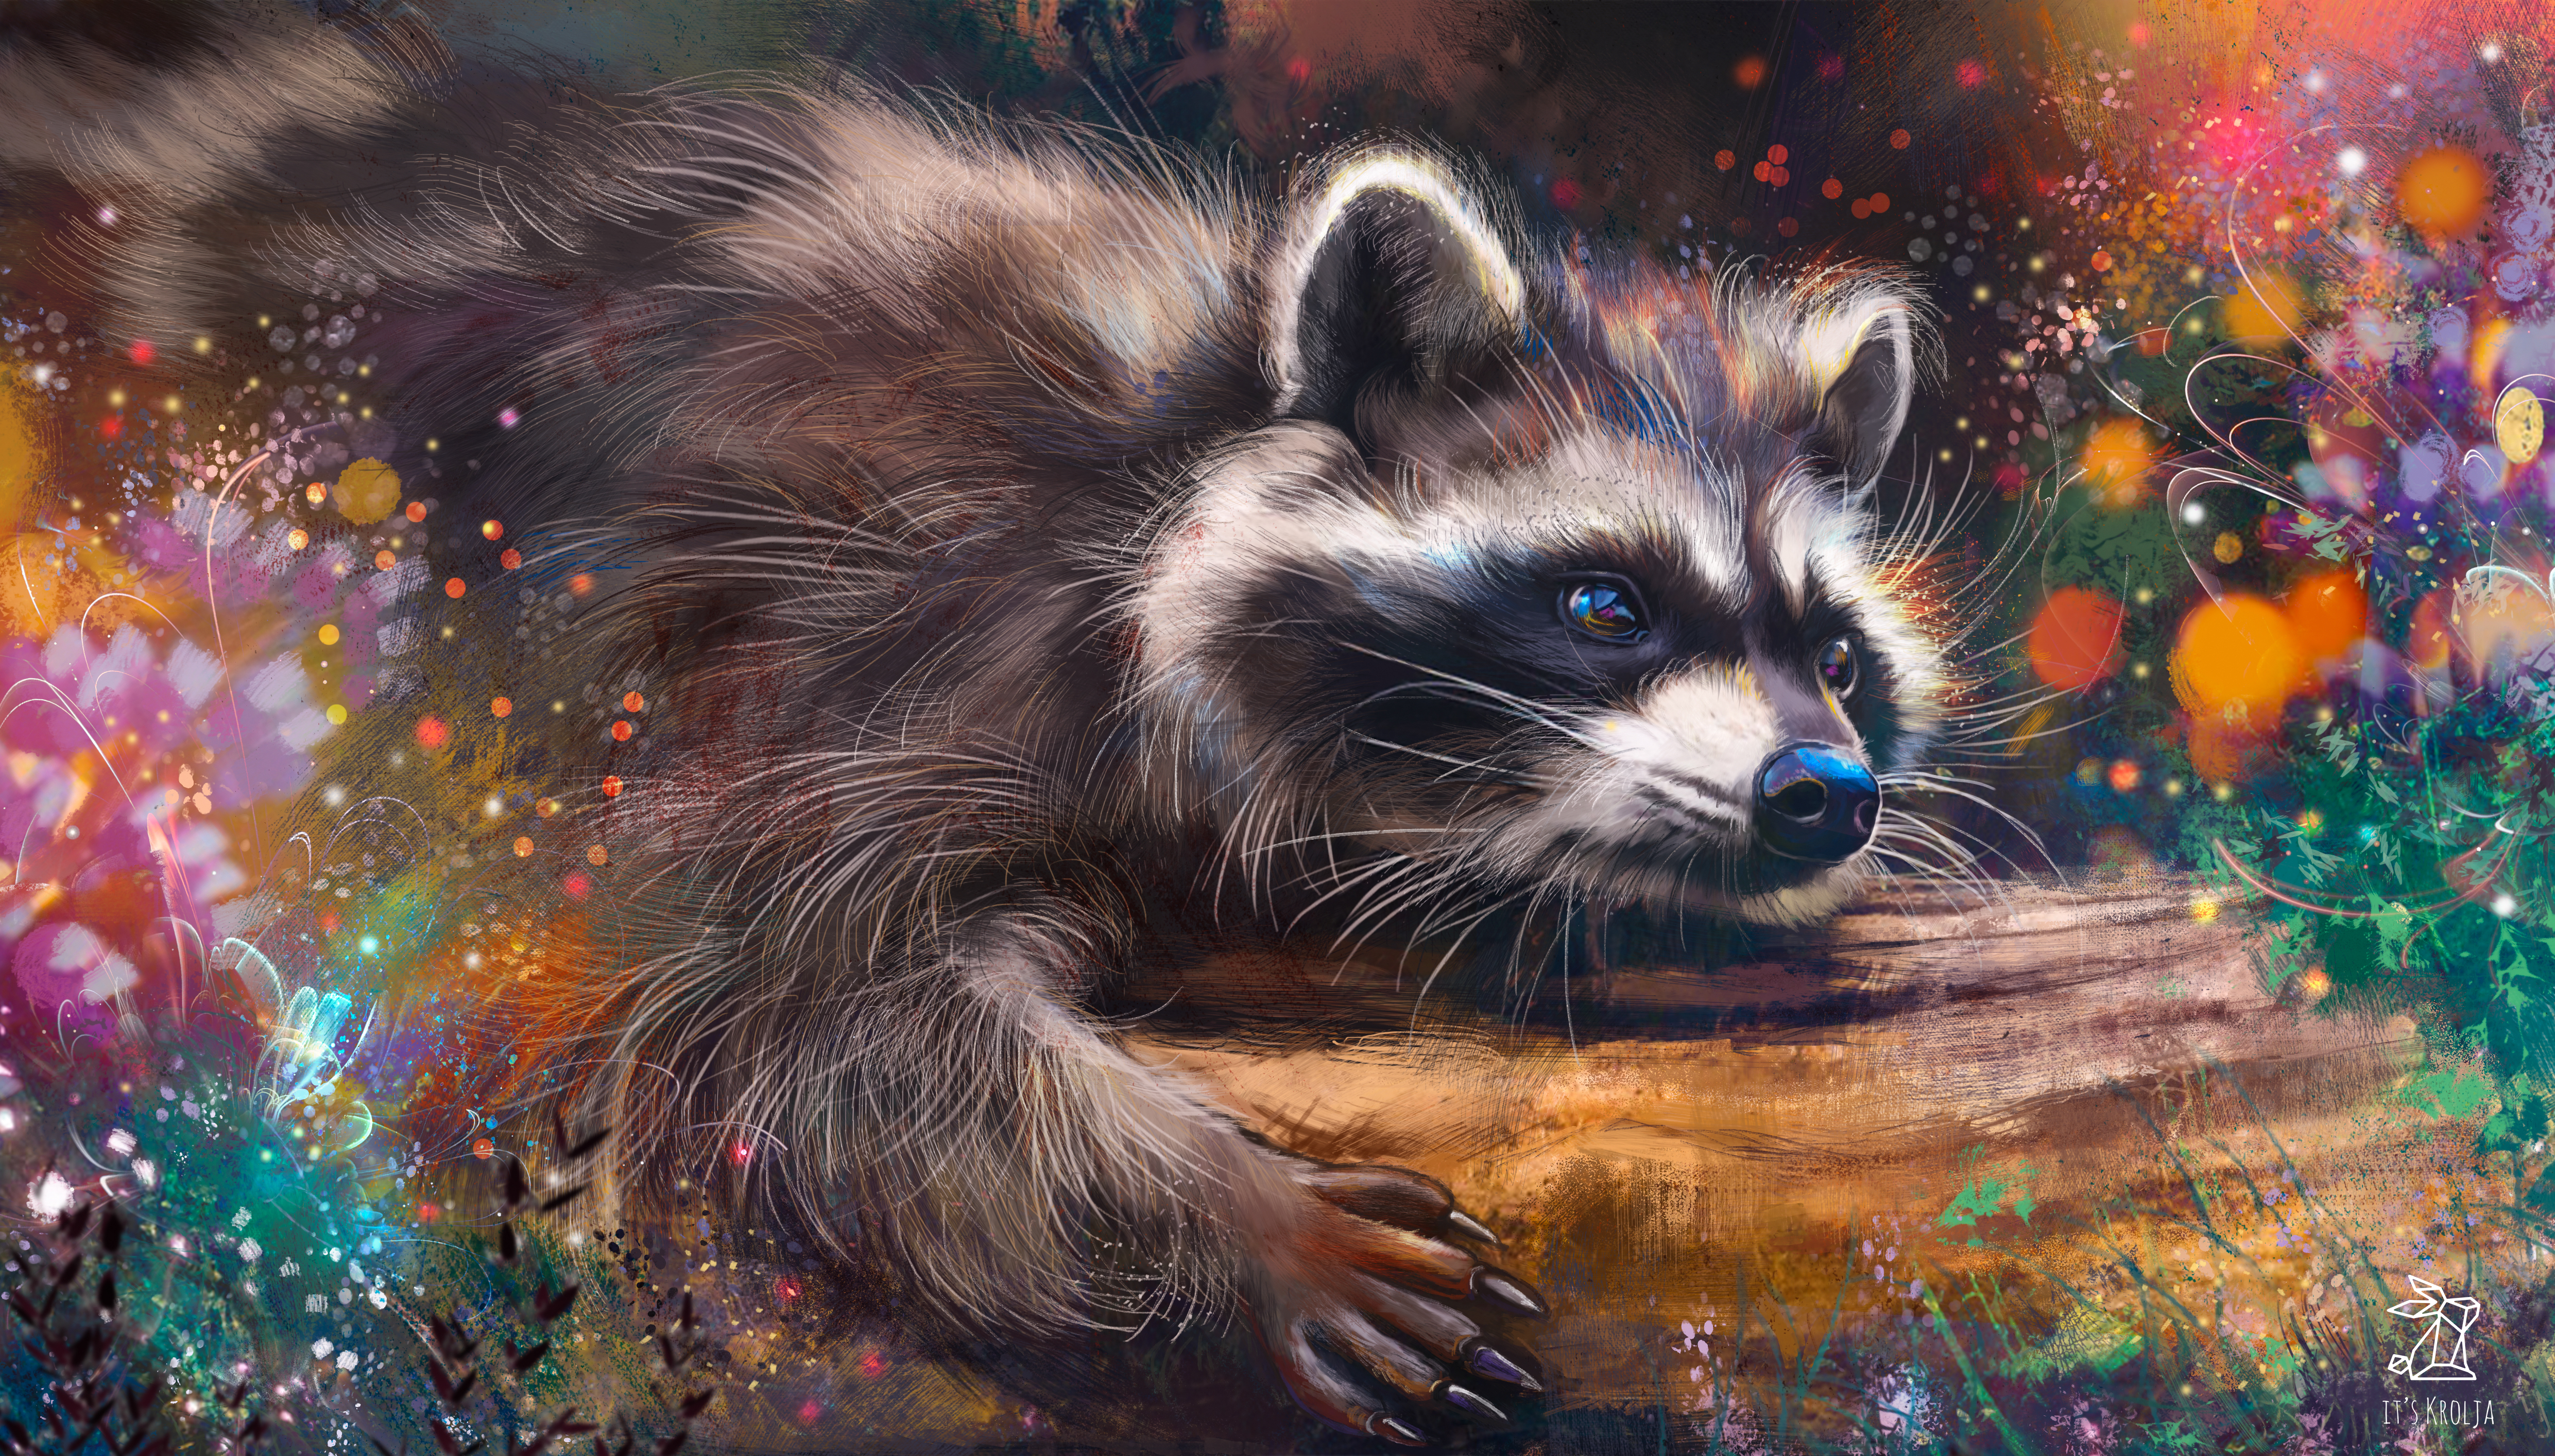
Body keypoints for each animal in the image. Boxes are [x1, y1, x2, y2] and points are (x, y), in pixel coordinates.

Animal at [2, 3, 1949, 1442]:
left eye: (1836, 653)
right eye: (1608, 605)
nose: (1822, 791)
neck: (1179, 442)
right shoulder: (884, 647)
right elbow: (814, 1024)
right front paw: (1234, 1213)